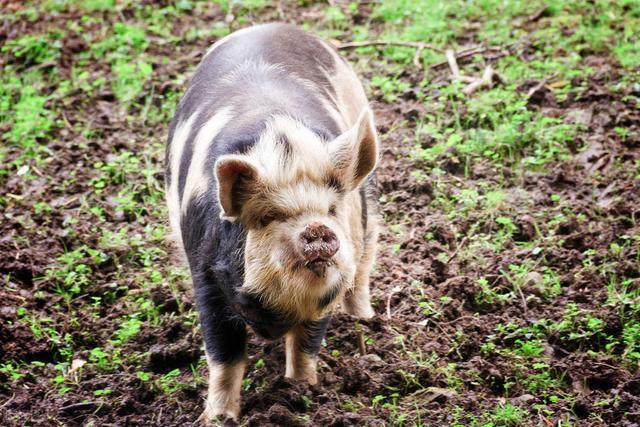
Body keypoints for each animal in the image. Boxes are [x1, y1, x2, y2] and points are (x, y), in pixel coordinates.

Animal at [166, 24, 380, 424]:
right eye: (270, 217)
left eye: (331, 209)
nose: (317, 229)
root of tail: (266, 27)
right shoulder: (205, 272)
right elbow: (224, 356)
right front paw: (217, 418)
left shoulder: (326, 293)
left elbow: (306, 344)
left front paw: (302, 390)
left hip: (369, 206)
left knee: (363, 267)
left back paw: (366, 320)